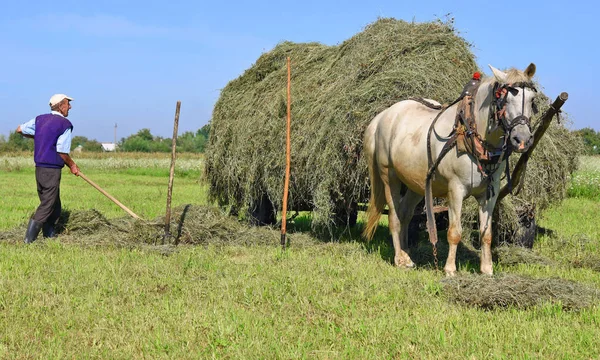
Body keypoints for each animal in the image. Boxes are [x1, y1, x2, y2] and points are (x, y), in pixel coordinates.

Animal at [364, 63, 536, 274]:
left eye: (532, 99)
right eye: (504, 98)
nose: (522, 139)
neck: (471, 132)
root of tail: (382, 116)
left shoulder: (490, 193)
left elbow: (486, 233)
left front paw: (487, 269)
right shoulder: (456, 189)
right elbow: (455, 231)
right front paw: (450, 269)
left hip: (417, 184)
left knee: (405, 214)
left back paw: (407, 254)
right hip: (389, 177)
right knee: (394, 217)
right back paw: (400, 259)